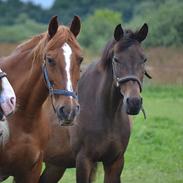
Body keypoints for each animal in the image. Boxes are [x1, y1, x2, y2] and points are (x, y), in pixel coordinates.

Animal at [39, 23, 149, 183]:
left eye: (144, 59)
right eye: (116, 59)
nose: (134, 102)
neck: (107, 113)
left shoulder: (115, 162)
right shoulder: (84, 160)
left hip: (55, 166)